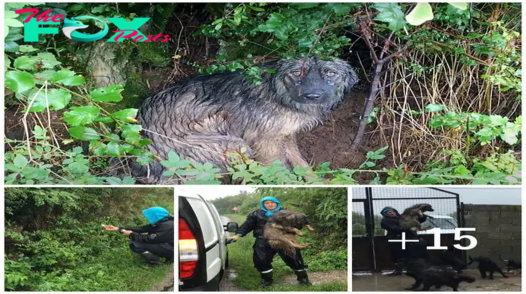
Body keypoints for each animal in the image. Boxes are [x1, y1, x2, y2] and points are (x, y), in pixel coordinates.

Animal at [129, 56, 358, 183]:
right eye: (296, 72)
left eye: (330, 73)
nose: (312, 96)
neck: (276, 91)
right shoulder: (265, 142)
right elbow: (278, 170)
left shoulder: (284, 135)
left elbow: (300, 163)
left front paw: (315, 181)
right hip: (232, 145)